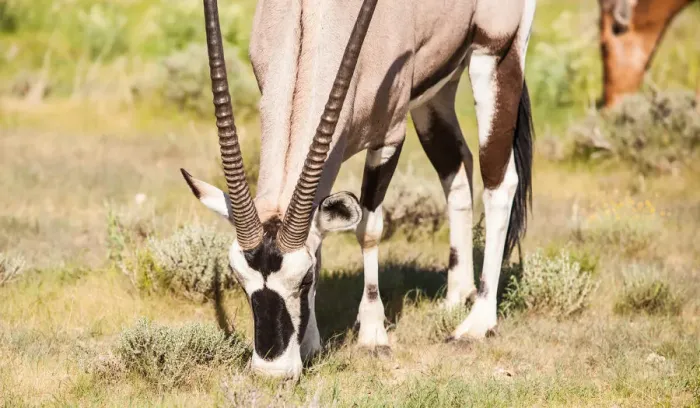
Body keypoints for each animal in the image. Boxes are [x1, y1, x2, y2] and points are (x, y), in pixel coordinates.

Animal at [181, 0, 535, 379]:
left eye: (304, 280)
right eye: (238, 278)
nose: (271, 371)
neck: (314, 21)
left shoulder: (388, 137)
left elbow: (368, 229)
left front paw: (373, 335)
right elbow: (320, 238)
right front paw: (312, 344)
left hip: (495, 54)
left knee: (500, 183)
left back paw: (476, 324)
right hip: (437, 86)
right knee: (456, 168)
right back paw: (456, 297)